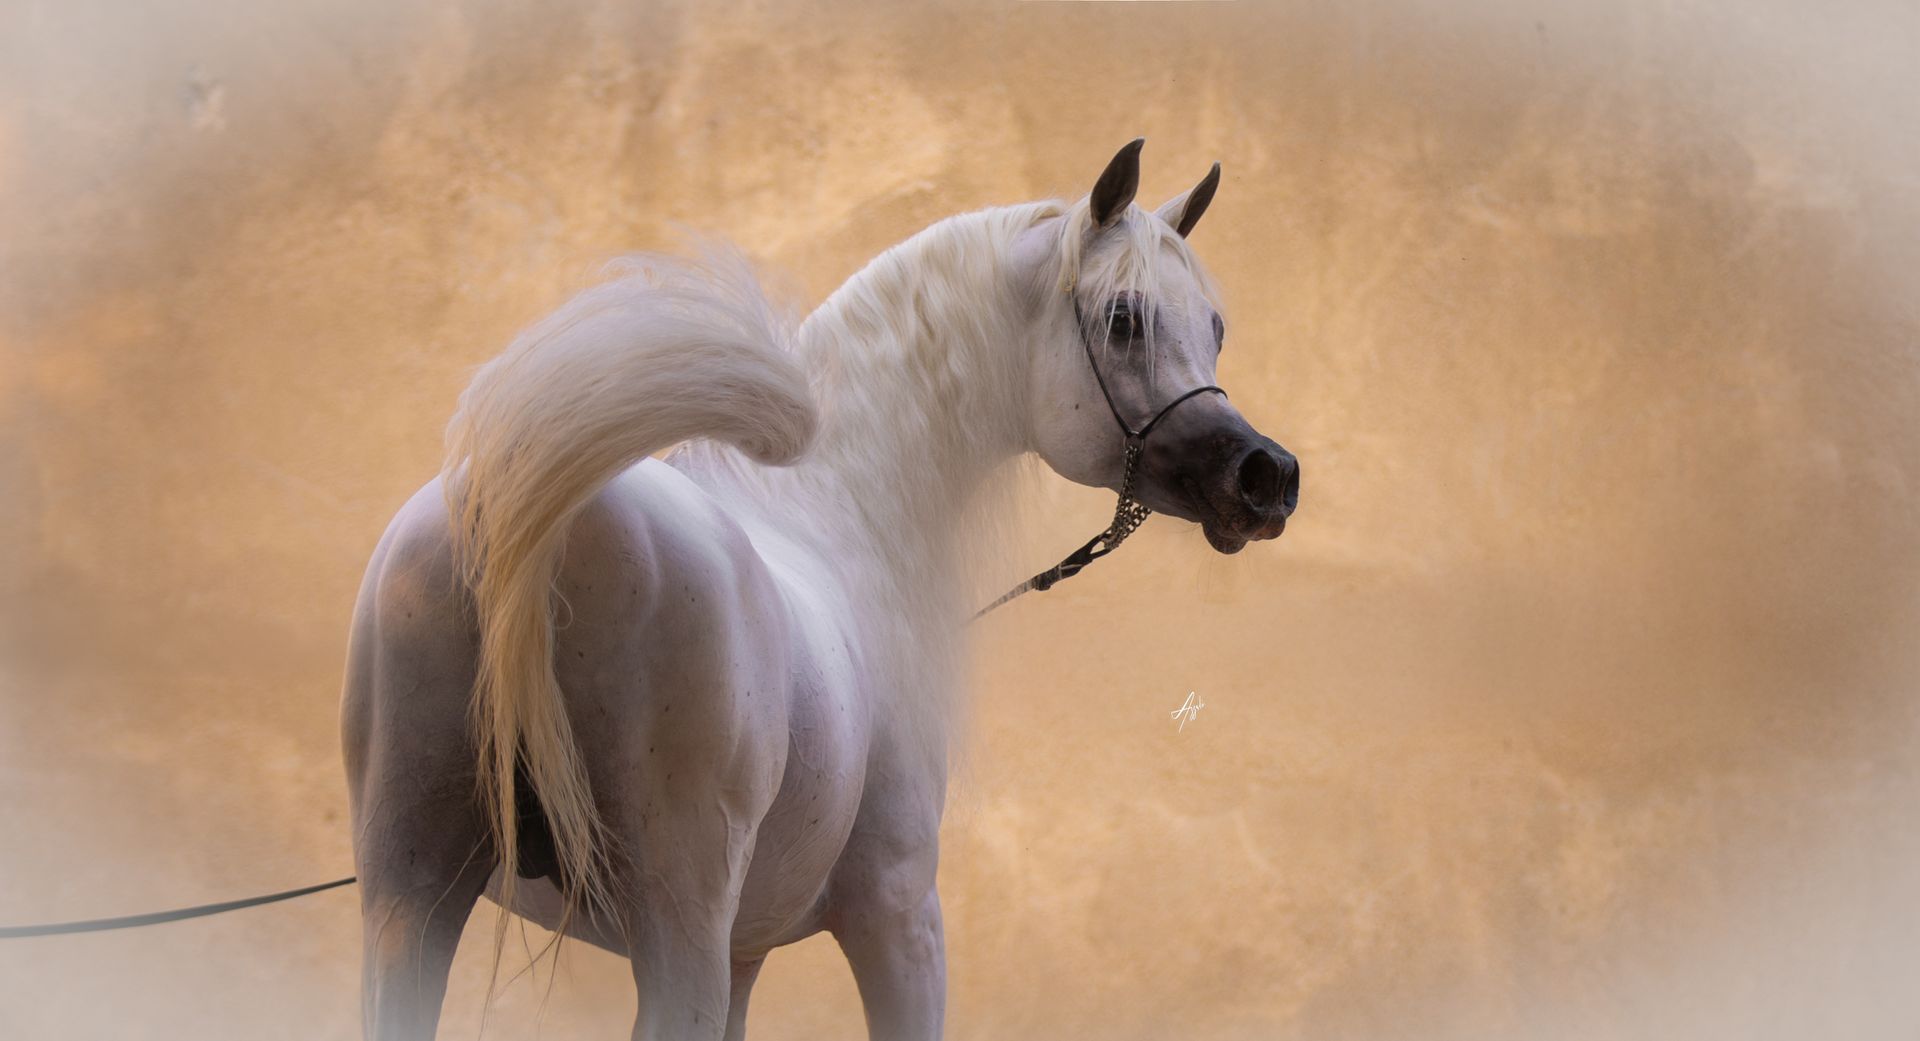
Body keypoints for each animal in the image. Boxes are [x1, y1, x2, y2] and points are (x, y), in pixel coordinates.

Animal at [340, 138, 1299, 1041]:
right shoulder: (899, 914)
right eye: (1124, 319)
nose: (1267, 477)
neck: (837, 504)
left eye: (1215, 325)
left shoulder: (746, 951)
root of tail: (556, 529)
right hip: (674, 925)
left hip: (408, 898)